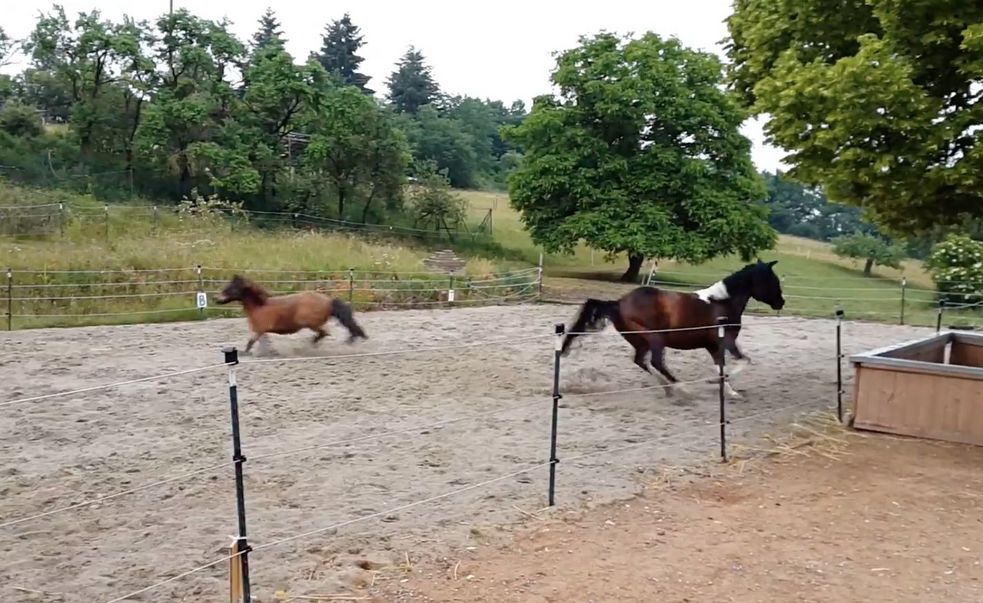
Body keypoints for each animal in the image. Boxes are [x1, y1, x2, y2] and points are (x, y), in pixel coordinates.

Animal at [216, 278, 368, 356]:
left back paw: (307, 347)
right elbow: (261, 343)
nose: (216, 299)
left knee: (324, 333)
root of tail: (329, 301)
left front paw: (244, 353)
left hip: (308, 322)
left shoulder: (260, 329)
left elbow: (251, 342)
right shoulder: (262, 331)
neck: (259, 306)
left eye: (231, 289)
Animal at [560, 258, 784, 396]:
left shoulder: (713, 346)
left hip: (640, 342)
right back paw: (681, 388)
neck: (722, 303)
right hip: (655, 339)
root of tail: (619, 303)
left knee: (641, 361)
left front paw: (730, 391)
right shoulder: (727, 341)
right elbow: (744, 361)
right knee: (656, 362)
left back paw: (668, 388)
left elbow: (721, 367)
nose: (780, 302)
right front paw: (718, 384)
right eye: (772, 280)